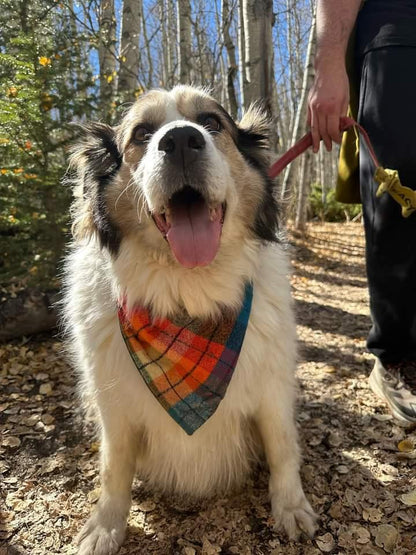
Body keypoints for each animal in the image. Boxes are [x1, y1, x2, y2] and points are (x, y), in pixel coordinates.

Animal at [65, 84, 316, 552]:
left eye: (212, 122)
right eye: (142, 134)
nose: (181, 140)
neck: (189, 298)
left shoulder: (272, 391)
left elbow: (282, 448)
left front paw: (290, 507)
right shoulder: (114, 407)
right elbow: (112, 468)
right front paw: (105, 526)